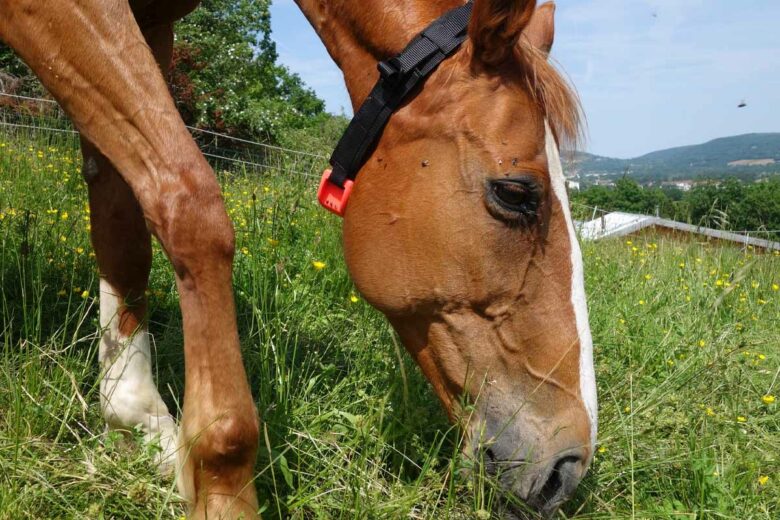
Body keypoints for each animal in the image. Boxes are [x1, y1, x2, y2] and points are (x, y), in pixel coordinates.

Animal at [0, 0, 596, 516]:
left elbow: (124, 221)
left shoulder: (151, 23)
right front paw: (220, 485)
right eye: (515, 193)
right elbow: (189, 202)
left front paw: (133, 422)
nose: (567, 468)